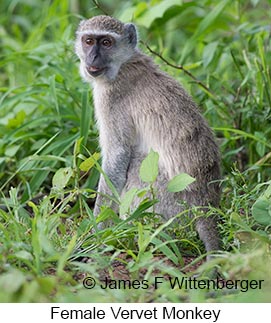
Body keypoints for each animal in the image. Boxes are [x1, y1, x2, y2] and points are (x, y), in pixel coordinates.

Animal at [75, 15, 222, 258]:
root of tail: (205, 206)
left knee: (137, 163)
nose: (92, 57)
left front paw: (97, 232)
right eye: (88, 41)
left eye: (106, 42)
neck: (124, 64)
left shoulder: (111, 98)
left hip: (170, 203)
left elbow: (117, 156)